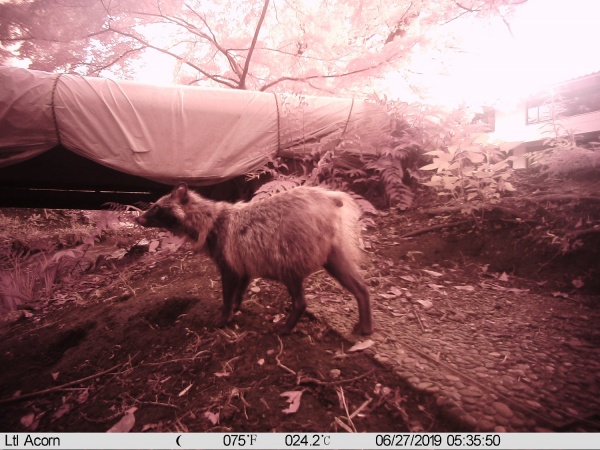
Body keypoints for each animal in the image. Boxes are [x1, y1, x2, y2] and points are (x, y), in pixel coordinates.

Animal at [137, 182, 370, 334]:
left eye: (156, 207)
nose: (137, 218)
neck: (210, 220)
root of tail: (329, 197)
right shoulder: (244, 264)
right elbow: (239, 292)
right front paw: (236, 308)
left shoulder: (229, 263)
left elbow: (227, 295)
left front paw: (224, 317)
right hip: (333, 255)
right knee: (361, 287)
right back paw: (365, 325)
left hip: (288, 257)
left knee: (300, 302)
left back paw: (286, 327)